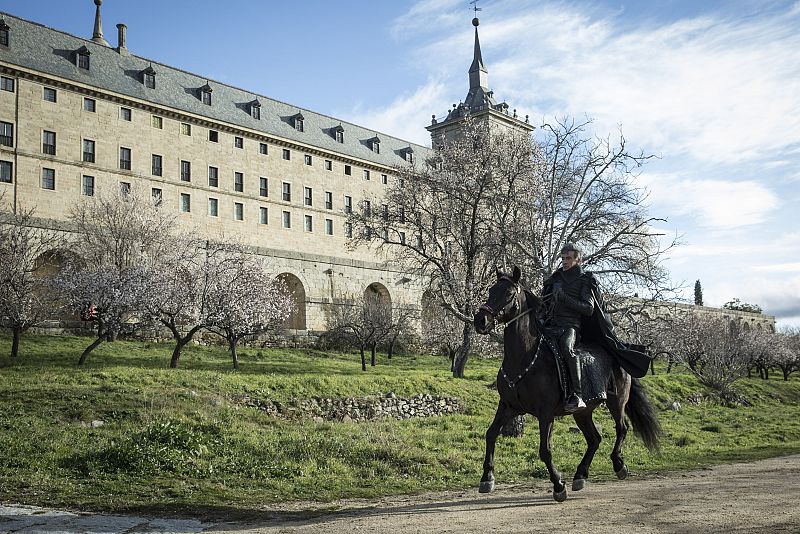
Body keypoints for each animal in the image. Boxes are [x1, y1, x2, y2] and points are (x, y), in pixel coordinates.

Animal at [472, 268, 660, 502]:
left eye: (508, 293)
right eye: (490, 290)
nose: (481, 320)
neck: (524, 358)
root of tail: (616, 353)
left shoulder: (545, 414)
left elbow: (545, 450)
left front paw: (558, 485)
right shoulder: (508, 406)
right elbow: (490, 434)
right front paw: (487, 478)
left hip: (617, 402)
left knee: (621, 429)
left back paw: (618, 465)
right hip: (583, 412)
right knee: (594, 439)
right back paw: (580, 475)